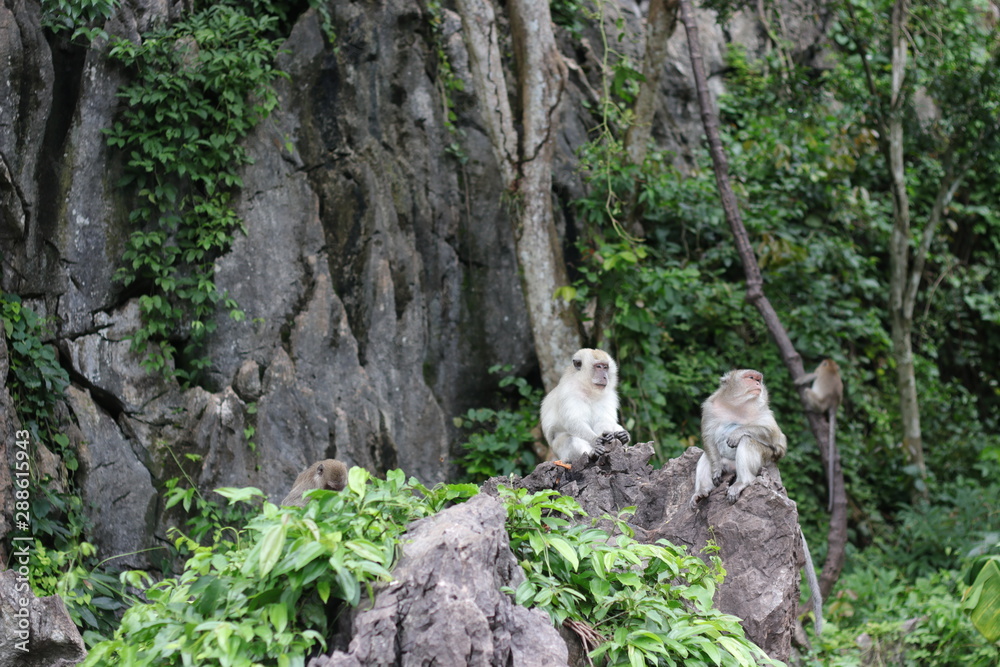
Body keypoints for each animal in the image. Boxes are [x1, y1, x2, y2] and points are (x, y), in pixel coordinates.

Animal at [689, 369, 788, 508]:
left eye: (758, 380)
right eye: (751, 378)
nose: (758, 384)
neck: (737, 405)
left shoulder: (763, 409)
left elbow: (777, 438)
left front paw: (737, 433)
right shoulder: (709, 407)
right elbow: (708, 437)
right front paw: (716, 469)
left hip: (766, 461)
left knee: (747, 440)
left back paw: (743, 482)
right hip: (726, 464)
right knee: (706, 455)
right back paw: (702, 491)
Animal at [796, 359, 843, 512]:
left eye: (823, 362)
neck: (832, 368)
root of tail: (834, 403)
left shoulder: (818, 372)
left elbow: (808, 377)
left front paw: (796, 381)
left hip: (818, 402)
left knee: (807, 391)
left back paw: (810, 408)